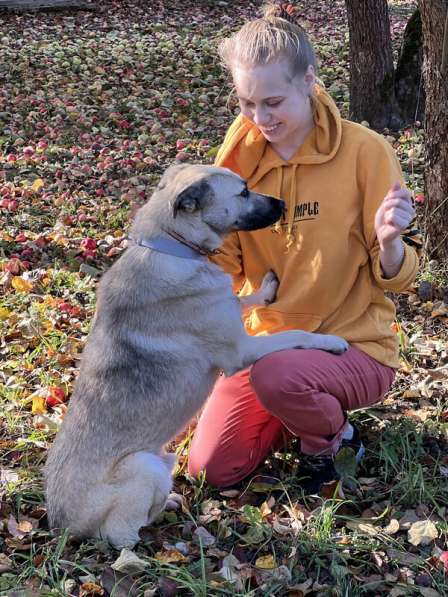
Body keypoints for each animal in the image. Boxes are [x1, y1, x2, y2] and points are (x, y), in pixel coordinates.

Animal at [44, 162, 346, 544]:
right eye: (243, 192)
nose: (281, 204)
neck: (172, 245)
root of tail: (60, 526)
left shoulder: (228, 309)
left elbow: (241, 298)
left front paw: (265, 289)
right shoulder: (242, 349)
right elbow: (295, 334)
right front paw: (330, 341)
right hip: (144, 466)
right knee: (124, 534)